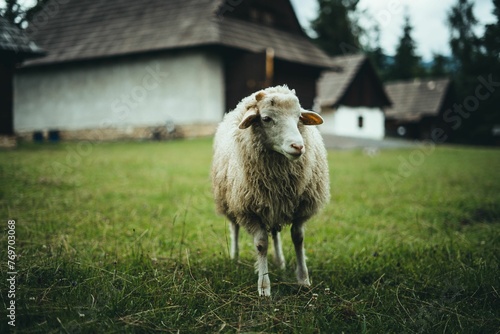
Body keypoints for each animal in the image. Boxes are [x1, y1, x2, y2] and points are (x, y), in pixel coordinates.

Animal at [212, 85, 332, 296]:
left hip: (273, 206)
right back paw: (234, 257)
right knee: (234, 227)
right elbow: (261, 244)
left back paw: (279, 261)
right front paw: (264, 287)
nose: (298, 146)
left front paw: (304, 280)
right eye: (266, 118)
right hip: (230, 202)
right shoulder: (250, 210)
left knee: (275, 232)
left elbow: (298, 238)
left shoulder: (299, 208)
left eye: (299, 117)